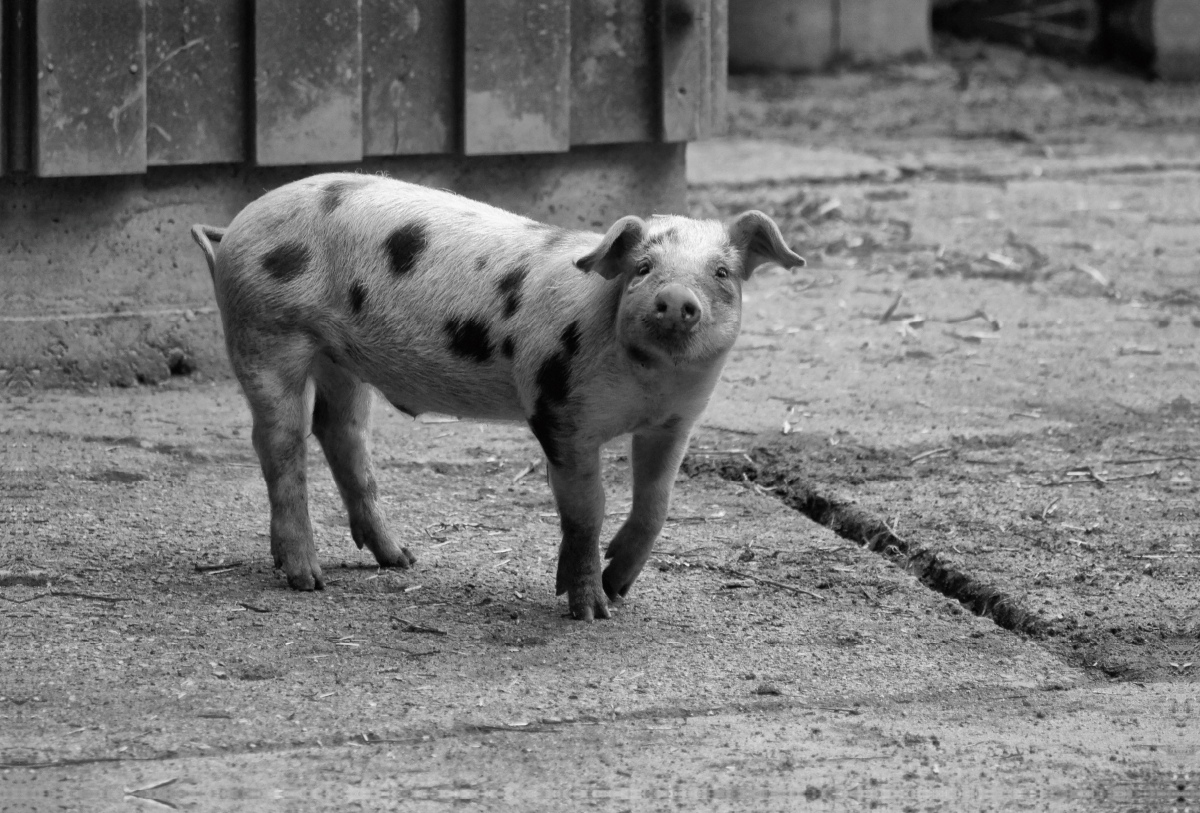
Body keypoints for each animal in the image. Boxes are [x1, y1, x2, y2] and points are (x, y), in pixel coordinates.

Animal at [189, 175, 806, 618]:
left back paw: (401, 559)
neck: (647, 383)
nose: (677, 297)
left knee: (340, 434)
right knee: (280, 444)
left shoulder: (674, 422)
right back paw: (307, 580)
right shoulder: (557, 413)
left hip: (341, 359)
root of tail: (237, 225)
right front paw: (591, 611)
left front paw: (618, 585)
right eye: (643, 268)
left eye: (722, 273)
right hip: (265, 333)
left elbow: (656, 505)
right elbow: (588, 508)